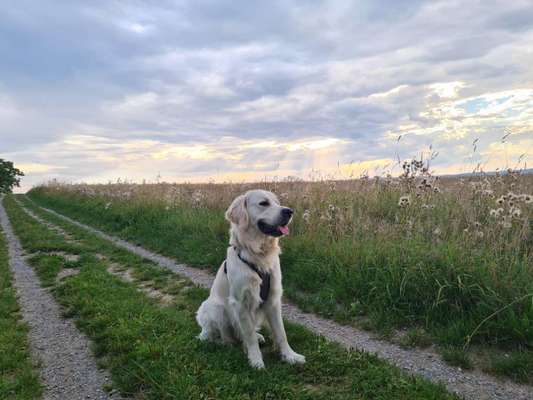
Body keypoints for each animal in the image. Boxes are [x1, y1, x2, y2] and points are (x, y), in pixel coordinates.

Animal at [195, 189, 306, 368]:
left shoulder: (273, 300)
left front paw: (290, 356)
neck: (258, 256)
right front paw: (256, 361)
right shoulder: (240, 302)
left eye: (277, 202)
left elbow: (281, 333)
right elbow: (249, 336)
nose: (289, 211)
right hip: (214, 308)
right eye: (264, 203)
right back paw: (225, 342)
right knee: (220, 336)